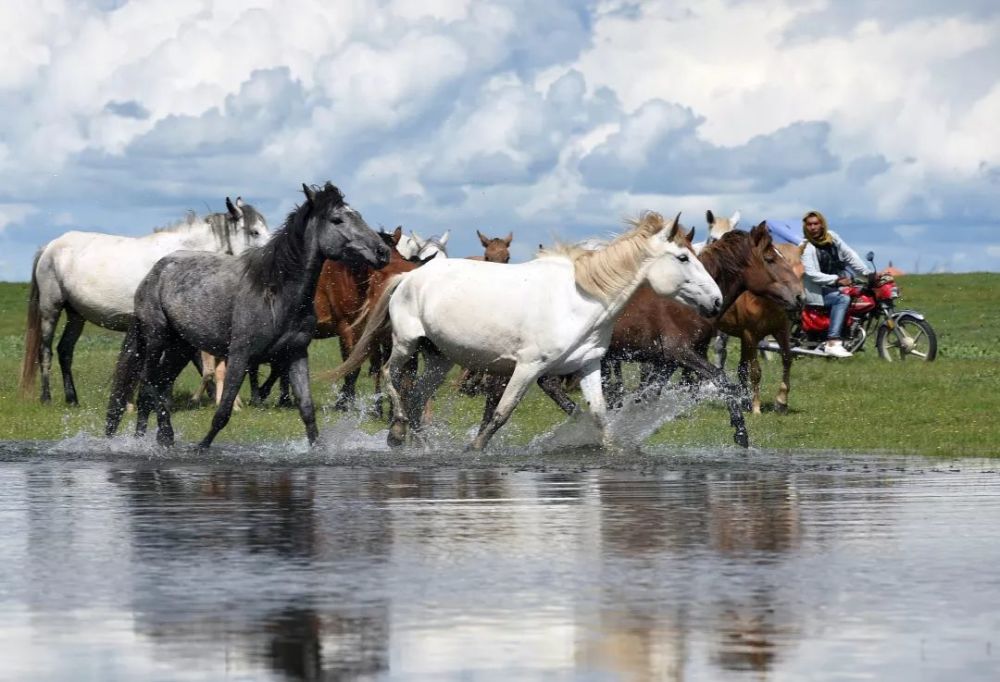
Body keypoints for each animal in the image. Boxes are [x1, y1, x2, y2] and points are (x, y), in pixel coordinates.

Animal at [21, 199, 270, 406]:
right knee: (46, 352)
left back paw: (72, 399)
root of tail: (50, 247)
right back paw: (46, 398)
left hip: (76, 315)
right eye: (254, 231)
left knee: (65, 351)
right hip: (50, 310)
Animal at [106, 181, 390, 446]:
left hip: (181, 346)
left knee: (157, 387)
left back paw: (154, 439)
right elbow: (223, 411)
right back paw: (153, 437)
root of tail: (154, 272)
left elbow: (307, 410)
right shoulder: (240, 356)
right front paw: (201, 448)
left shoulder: (296, 354)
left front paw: (316, 447)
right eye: (337, 219)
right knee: (148, 384)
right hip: (156, 338)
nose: (383, 252)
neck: (276, 293)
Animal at [332, 210, 724, 448]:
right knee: (391, 376)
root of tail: (410, 276)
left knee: (416, 399)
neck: (580, 299)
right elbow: (500, 415)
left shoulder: (589, 365)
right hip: (405, 343)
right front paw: (475, 449)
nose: (717, 301)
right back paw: (396, 432)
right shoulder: (528, 367)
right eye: (683, 257)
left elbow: (600, 417)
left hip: (440, 359)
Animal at [716, 242, 808, 412]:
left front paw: (781, 402)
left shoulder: (781, 332)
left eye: (803, 272)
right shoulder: (750, 335)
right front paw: (756, 406)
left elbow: (787, 359)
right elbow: (755, 371)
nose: (800, 300)